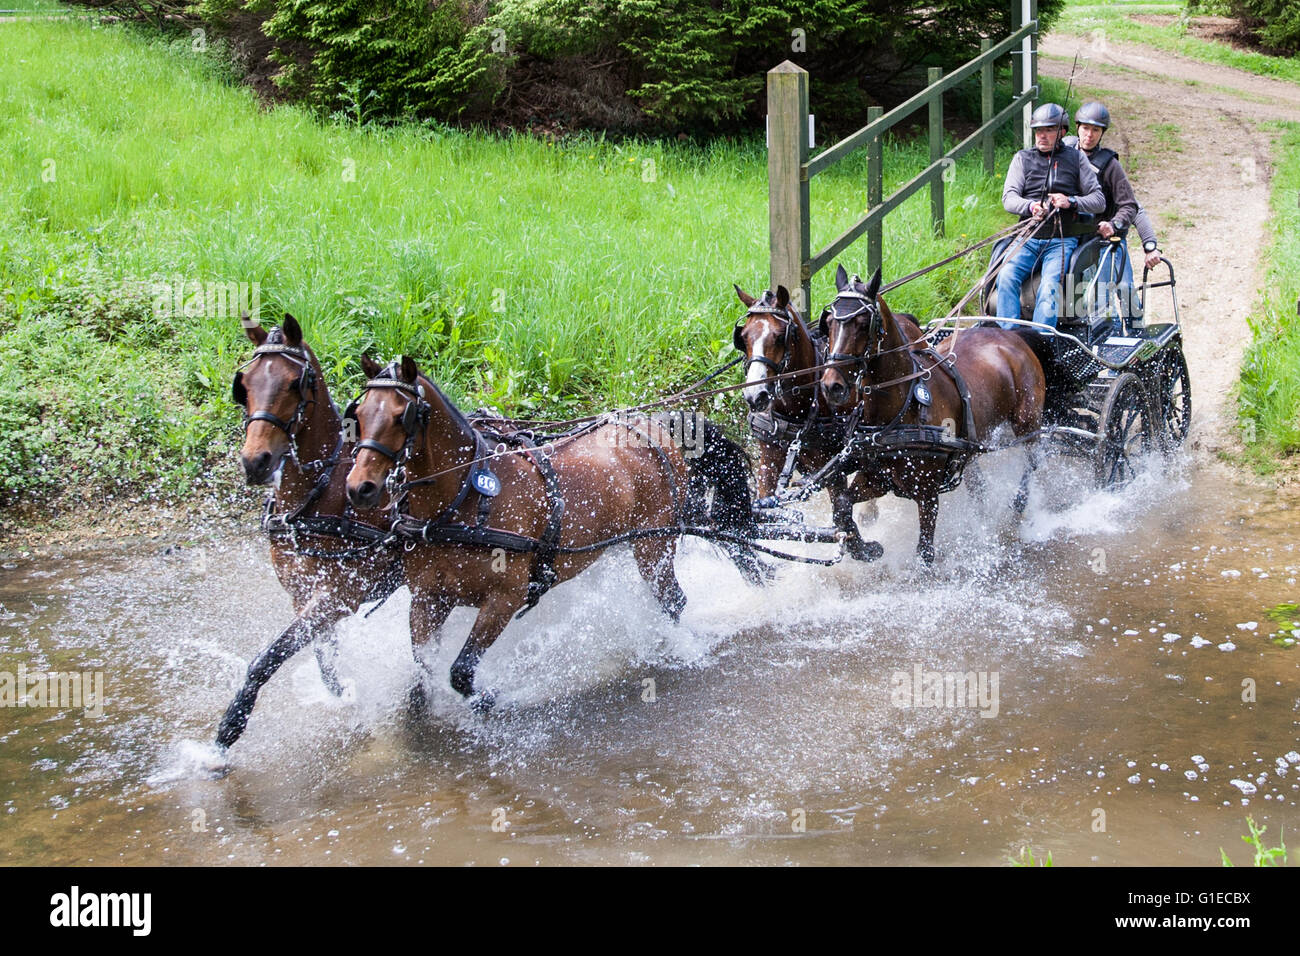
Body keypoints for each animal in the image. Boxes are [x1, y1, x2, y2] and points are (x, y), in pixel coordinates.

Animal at [213, 317, 400, 749]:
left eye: (293, 384)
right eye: (244, 383)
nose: (255, 461)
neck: (322, 492)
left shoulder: (339, 596)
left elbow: (267, 658)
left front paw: (230, 727)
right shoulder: (302, 593)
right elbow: (323, 657)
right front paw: (342, 694)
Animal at [340, 356, 759, 712]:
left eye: (402, 416)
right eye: (357, 414)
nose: (360, 487)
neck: (463, 502)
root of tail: (653, 426)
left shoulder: (504, 598)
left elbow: (461, 671)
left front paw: (489, 698)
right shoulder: (427, 600)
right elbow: (425, 665)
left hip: (653, 544)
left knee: (673, 600)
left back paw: (678, 646)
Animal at [733, 280, 925, 561]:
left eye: (779, 336)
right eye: (744, 337)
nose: (755, 395)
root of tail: (907, 321)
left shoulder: (832, 466)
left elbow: (841, 511)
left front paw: (860, 547)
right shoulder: (770, 456)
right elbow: (766, 499)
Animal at [821, 265, 1045, 564]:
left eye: (861, 323)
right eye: (829, 322)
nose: (831, 385)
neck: (902, 409)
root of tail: (1012, 336)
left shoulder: (927, 496)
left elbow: (925, 552)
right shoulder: (876, 479)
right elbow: (843, 506)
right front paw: (862, 547)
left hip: (1027, 423)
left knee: (1032, 460)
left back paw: (1018, 502)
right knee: (979, 484)